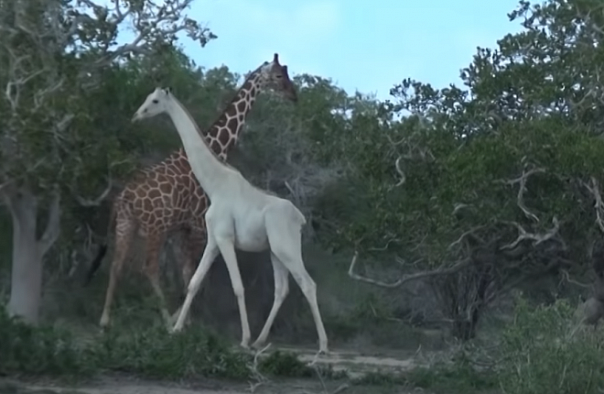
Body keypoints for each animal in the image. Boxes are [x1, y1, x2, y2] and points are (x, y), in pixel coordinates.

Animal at [133, 84, 330, 354]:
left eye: (154, 101)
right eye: (146, 99)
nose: (137, 115)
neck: (214, 185)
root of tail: (299, 219)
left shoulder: (225, 238)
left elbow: (237, 286)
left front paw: (243, 339)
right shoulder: (213, 240)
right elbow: (194, 281)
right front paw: (175, 329)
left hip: (286, 248)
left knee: (308, 284)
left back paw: (322, 345)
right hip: (275, 251)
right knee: (282, 289)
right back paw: (260, 340)